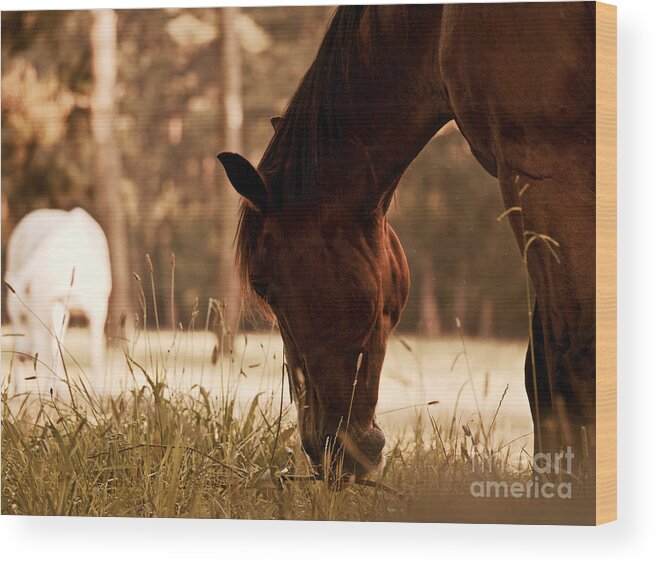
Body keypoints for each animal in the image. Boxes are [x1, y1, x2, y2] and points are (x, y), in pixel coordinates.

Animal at [4, 208, 111, 396]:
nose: (23, 356)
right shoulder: (49, 302)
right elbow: (51, 346)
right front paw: (47, 394)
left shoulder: (98, 306)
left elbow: (94, 347)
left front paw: (98, 394)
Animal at [218, 3, 596, 480]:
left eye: (264, 285)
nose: (323, 452)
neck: (440, 25)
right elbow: (542, 368)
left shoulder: (548, 172)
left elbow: (568, 365)